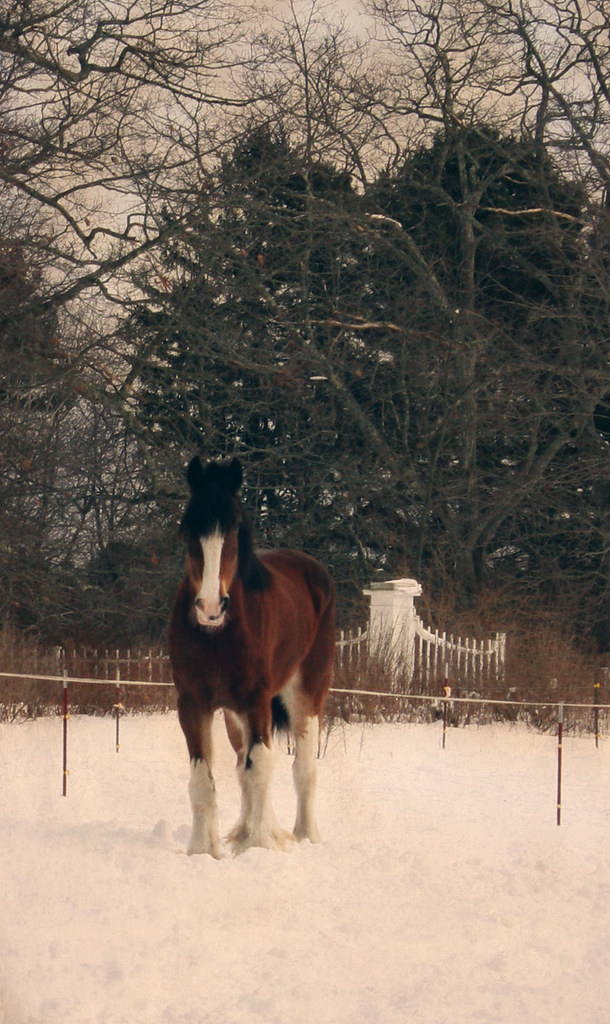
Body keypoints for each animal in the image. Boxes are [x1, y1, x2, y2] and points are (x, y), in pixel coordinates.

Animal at [168, 455, 336, 857]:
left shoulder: (257, 700)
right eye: (188, 527)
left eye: (233, 527)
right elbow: (203, 780)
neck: (217, 636)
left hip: (306, 694)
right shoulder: (192, 703)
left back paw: (306, 836)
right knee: (243, 766)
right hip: (234, 715)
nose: (210, 606)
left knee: (303, 770)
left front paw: (259, 846)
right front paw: (204, 851)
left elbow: (260, 769)